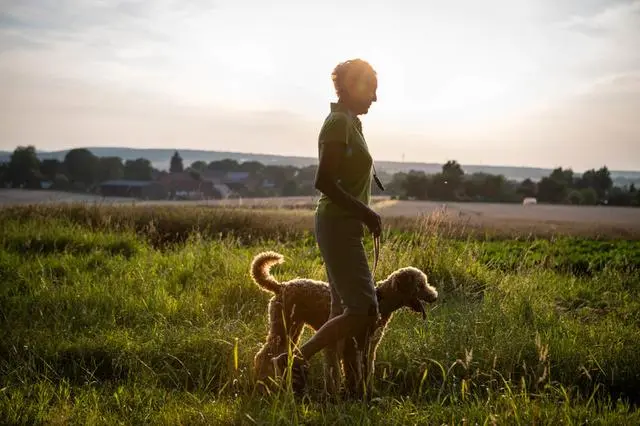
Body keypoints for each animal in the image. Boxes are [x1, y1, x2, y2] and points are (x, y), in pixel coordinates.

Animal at [249, 250, 436, 396]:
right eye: (420, 285)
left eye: (425, 283)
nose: (435, 296)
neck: (379, 300)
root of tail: (280, 286)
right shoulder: (352, 347)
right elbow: (354, 372)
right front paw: (356, 394)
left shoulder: (369, 346)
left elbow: (367, 370)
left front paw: (369, 392)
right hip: (283, 327)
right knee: (263, 355)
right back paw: (261, 382)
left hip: (293, 328)